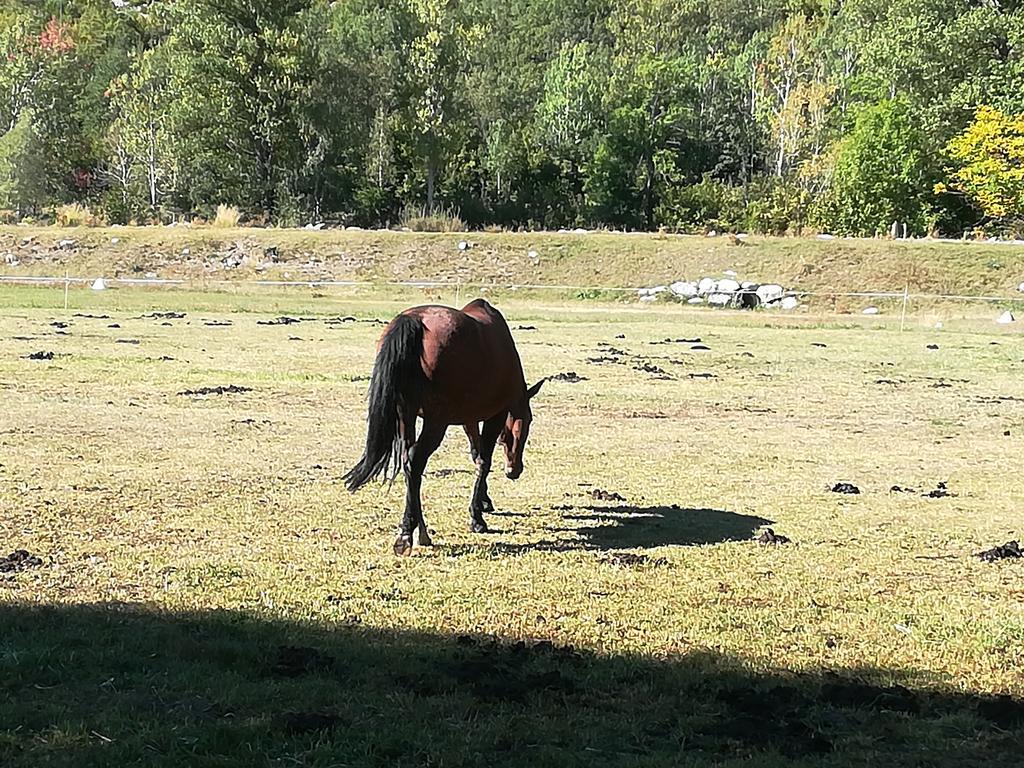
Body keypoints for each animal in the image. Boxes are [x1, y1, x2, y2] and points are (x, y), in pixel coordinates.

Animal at [344, 296, 544, 557]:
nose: (515, 470)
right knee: (415, 460)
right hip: (435, 422)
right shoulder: (495, 415)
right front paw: (477, 517)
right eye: (528, 422)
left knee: (409, 465)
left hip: (405, 416)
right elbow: (484, 460)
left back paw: (419, 530)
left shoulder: (469, 418)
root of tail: (413, 321)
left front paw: (483, 502)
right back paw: (407, 534)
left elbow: (476, 456)